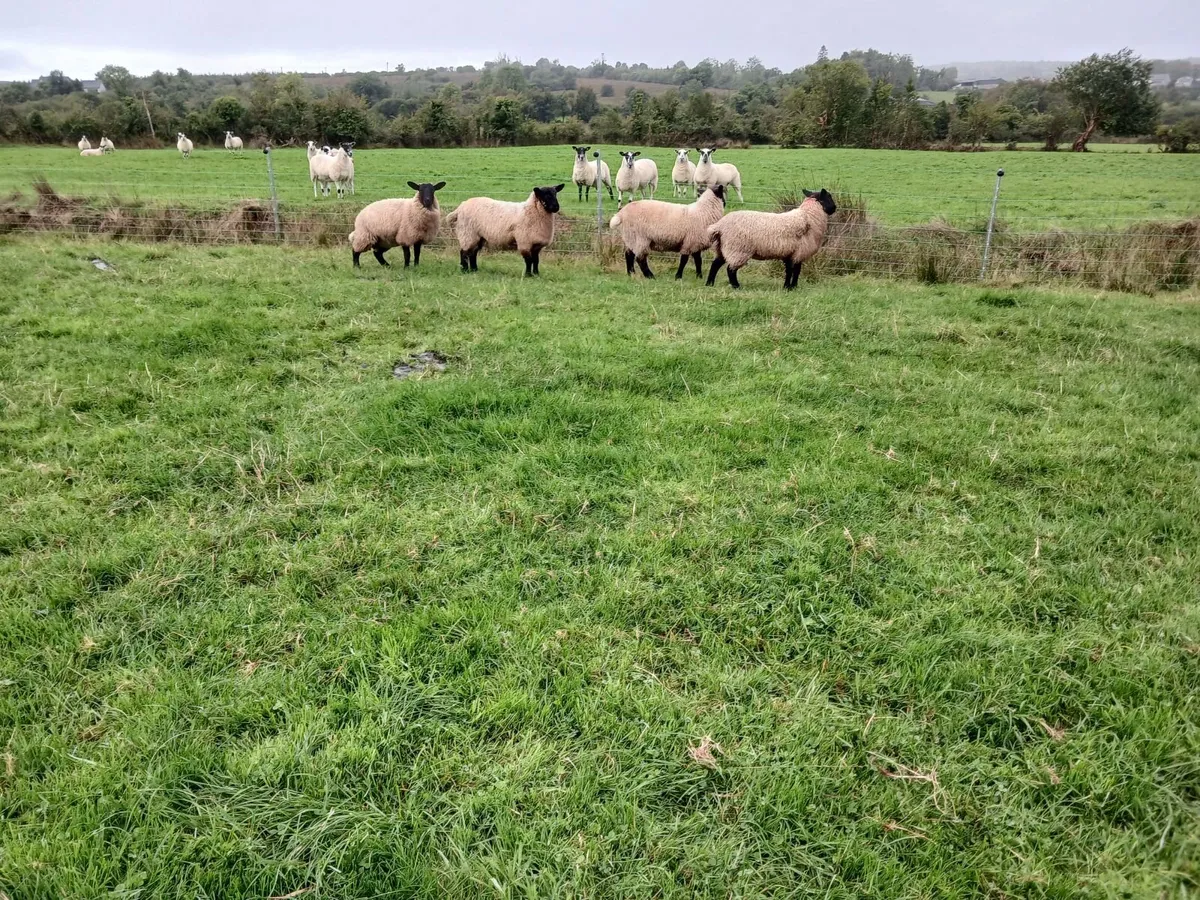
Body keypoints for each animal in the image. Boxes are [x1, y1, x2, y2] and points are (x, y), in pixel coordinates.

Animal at [705, 188, 837, 289]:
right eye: (829, 197)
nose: (835, 208)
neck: (809, 217)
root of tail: (720, 225)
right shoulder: (798, 253)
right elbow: (796, 271)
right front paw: (792, 287)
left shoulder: (790, 253)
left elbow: (789, 271)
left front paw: (787, 287)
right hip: (738, 249)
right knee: (730, 269)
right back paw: (736, 286)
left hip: (723, 247)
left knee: (715, 264)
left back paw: (709, 284)